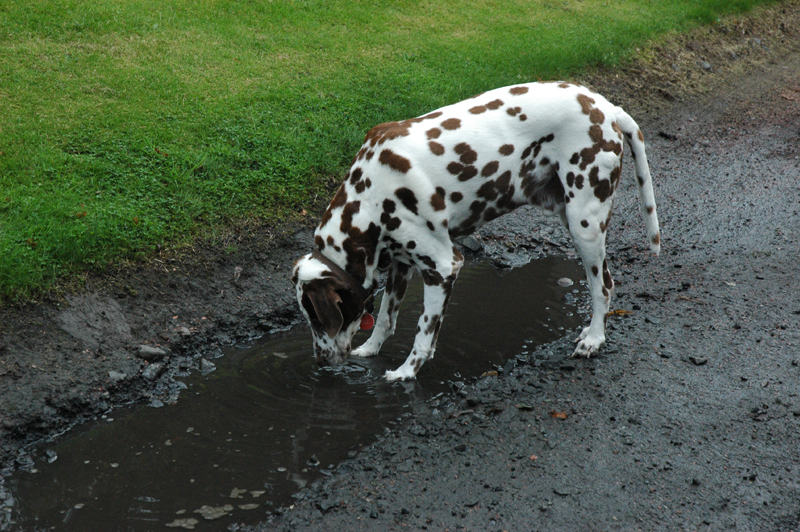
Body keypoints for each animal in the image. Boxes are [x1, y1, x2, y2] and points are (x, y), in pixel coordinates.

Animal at [290, 81, 660, 380]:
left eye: (319, 319)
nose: (320, 361)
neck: (369, 196)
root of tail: (606, 107)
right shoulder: (400, 265)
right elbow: (385, 319)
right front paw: (370, 350)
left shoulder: (443, 267)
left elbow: (423, 334)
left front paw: (406, 372)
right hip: (570, 218)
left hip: (585, 226)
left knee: (603, 287)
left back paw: (594, 339)